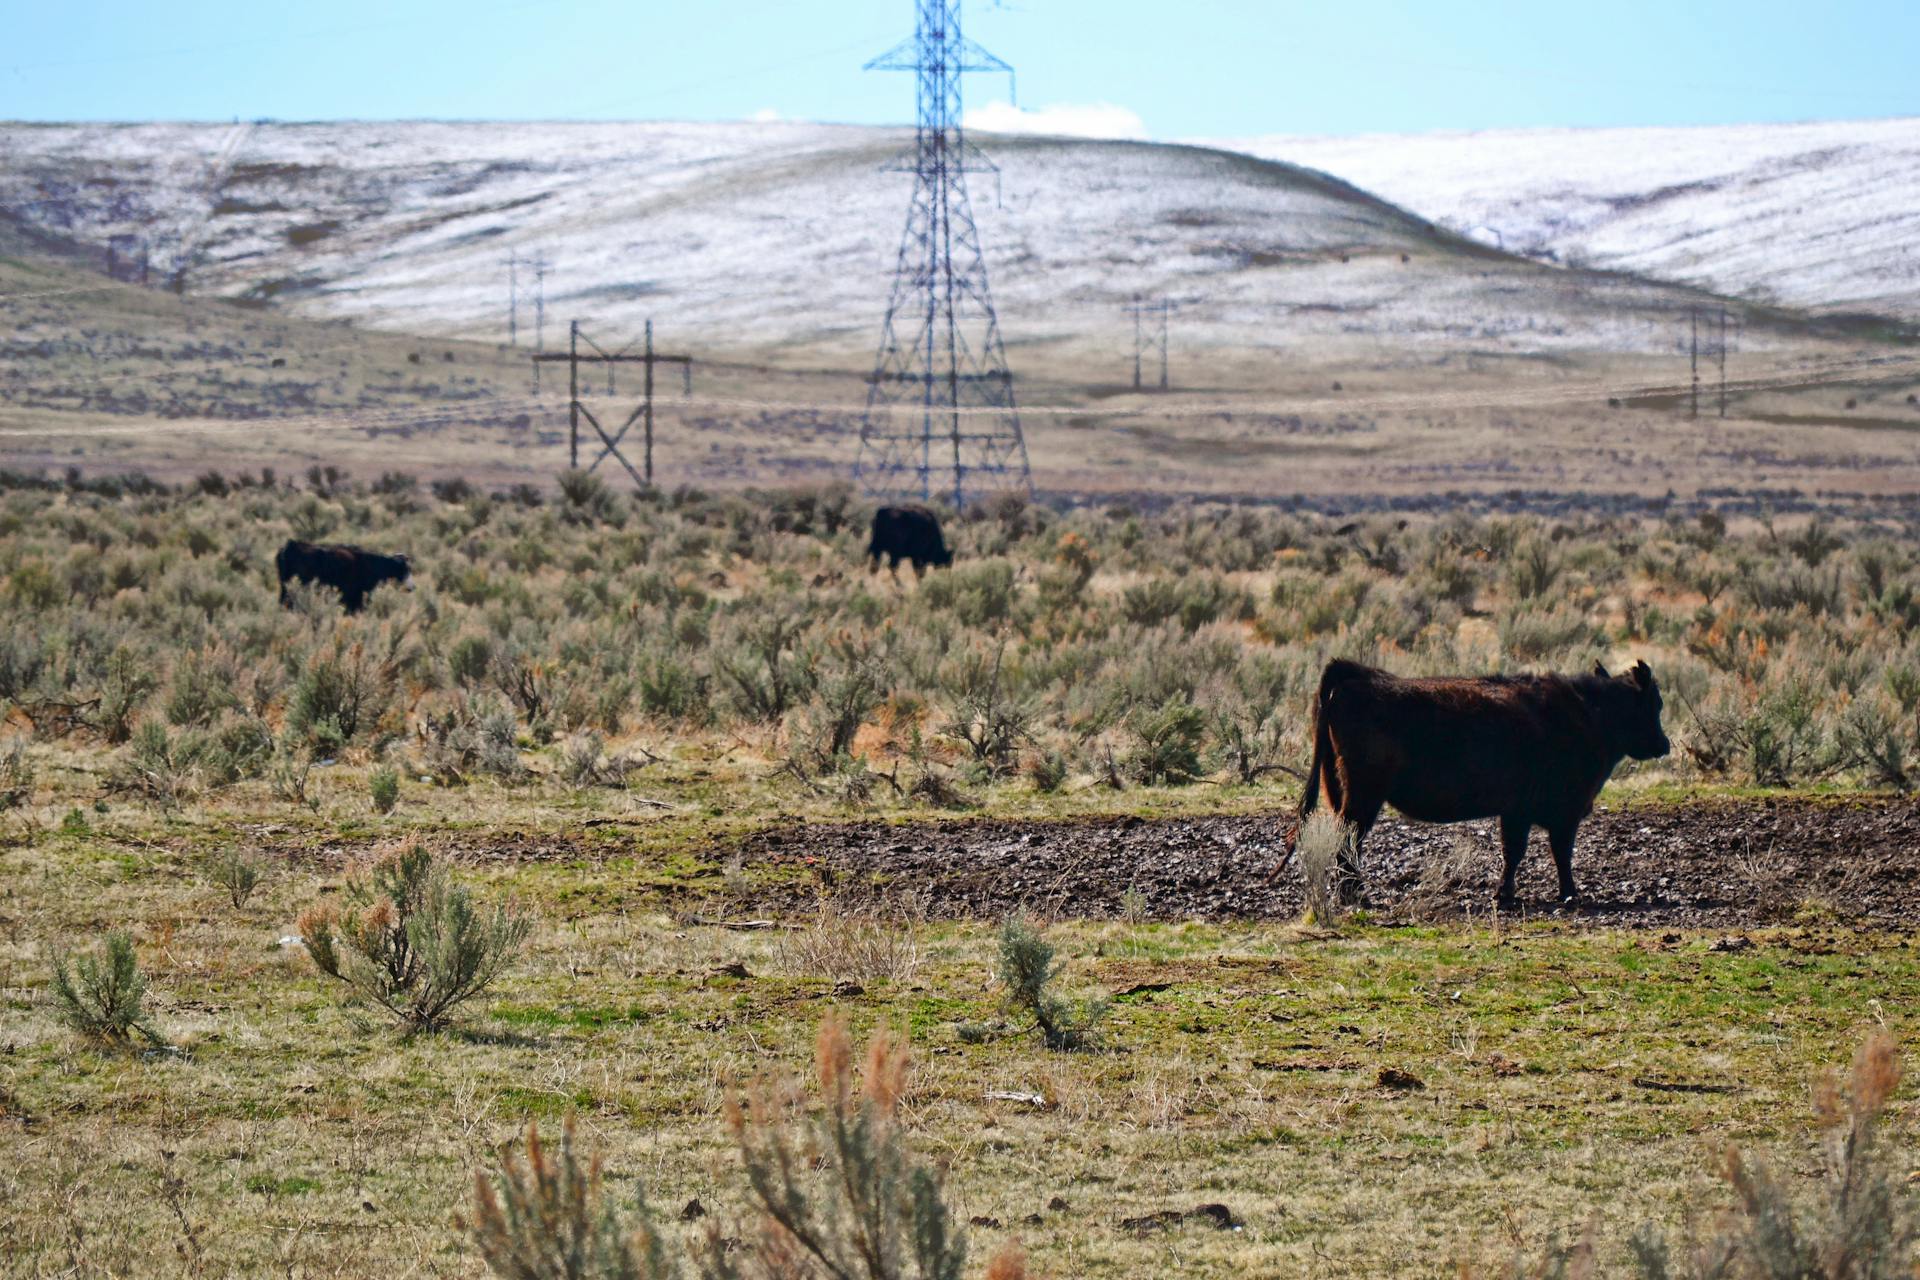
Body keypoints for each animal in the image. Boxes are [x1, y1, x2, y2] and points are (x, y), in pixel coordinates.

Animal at [1297, 656, 1674, 905]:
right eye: (1654, 703)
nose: (1664, 744)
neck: (1587, 715)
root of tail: (1352, 674)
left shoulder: (1517, 811)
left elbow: (1513, 852)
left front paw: (1504, 893)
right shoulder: (1563, 812)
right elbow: (1559, 853)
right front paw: (1569, 893)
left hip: (1340, 790)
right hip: (1364, 796)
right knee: (1349, 842)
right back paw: (1356, 896)